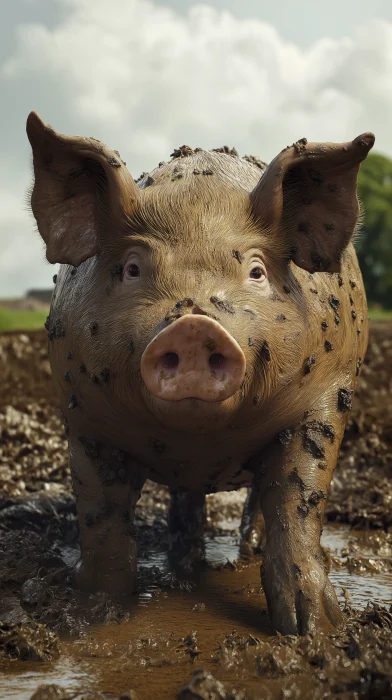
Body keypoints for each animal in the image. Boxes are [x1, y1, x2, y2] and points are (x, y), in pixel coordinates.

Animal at [26, 110, 376, 636]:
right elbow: (100, 514)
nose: (193, 326)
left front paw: (312, 630)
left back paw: (245, 552)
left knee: (260, 502)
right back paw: (184, 560)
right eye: (132, 268)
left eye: (256, 271)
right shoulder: (83, 416)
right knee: (184, 497)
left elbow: (297, 499)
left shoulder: (326, 399)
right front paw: (93, 613)